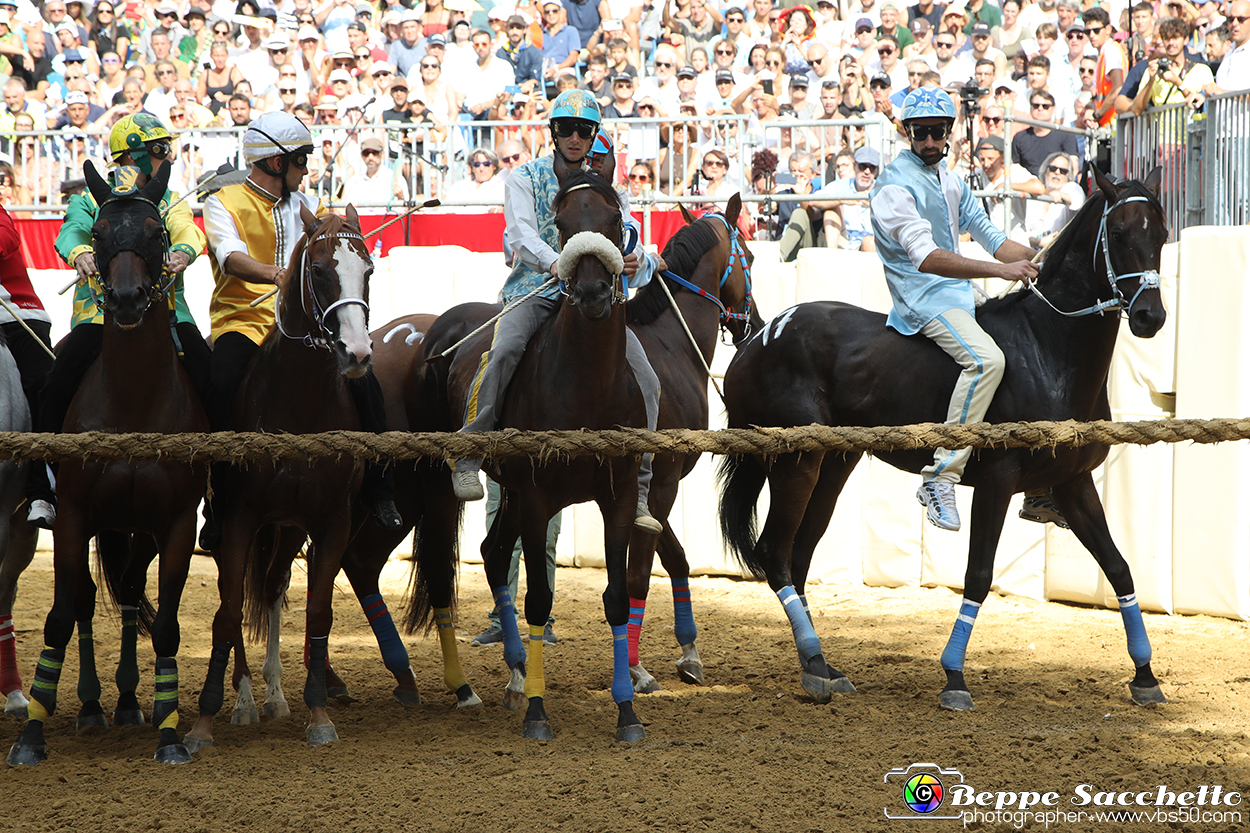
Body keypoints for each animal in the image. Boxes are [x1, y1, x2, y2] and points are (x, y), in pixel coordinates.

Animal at [7, 158, 207, 760]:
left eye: (157, 233)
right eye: (96, 234)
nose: (124, 299)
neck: (133, 402)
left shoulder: (175, 524)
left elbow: (165, 625)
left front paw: (170, 732)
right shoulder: (75, 515)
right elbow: (58, 619)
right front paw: (31, 736)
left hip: (136, 528)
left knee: (131, 593)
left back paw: (127, 701)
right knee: (87, 601)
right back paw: (94, 704)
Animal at [182, 203, 372, 750]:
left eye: (368, 271)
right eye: (321, 271)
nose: (357, 354)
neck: (298, 403)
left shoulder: (330, 523)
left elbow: (317, 611)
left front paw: (318, 713)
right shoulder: (241, 520)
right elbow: (227, 614)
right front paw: (204, 722)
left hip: (287, 528)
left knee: (268, 586)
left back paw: (274, 694)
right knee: (236, 597)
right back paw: (246, 698)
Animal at [422, 155, 650, 740]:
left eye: (616, 219)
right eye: (562, 224)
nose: (591, 294)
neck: (588, 386)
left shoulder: (616, 496)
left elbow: (617, 598)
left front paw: (626, 711)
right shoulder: (540, 494)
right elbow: (540, 599)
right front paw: (539, 713)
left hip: (516, 494)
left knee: (493, 553)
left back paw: (518, 671)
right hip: (474, 489)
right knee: (462, 563)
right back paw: (491, 684)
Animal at [617, 192, 760, 685]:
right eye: (750, 256)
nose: (753, 321)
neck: (669, 344)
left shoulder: (647, 491)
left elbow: (675, 558)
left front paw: (689, 652)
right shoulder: (661, 480)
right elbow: (640, 571)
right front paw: (635, 668)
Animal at [720, 167, 1165, 705]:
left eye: (1163, 235)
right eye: (1118, 234)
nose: (1151, 316)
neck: (1046, 347)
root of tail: (757, 339)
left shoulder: (1072, 482)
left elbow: (1118, 567)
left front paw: (1145, 674)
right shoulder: (997, 480)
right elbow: (978, 576)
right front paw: (954, 675)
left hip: (835, 464)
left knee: (799, 553)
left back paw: (822, 665)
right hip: (796, 463)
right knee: (774, 553)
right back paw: (812, 664)